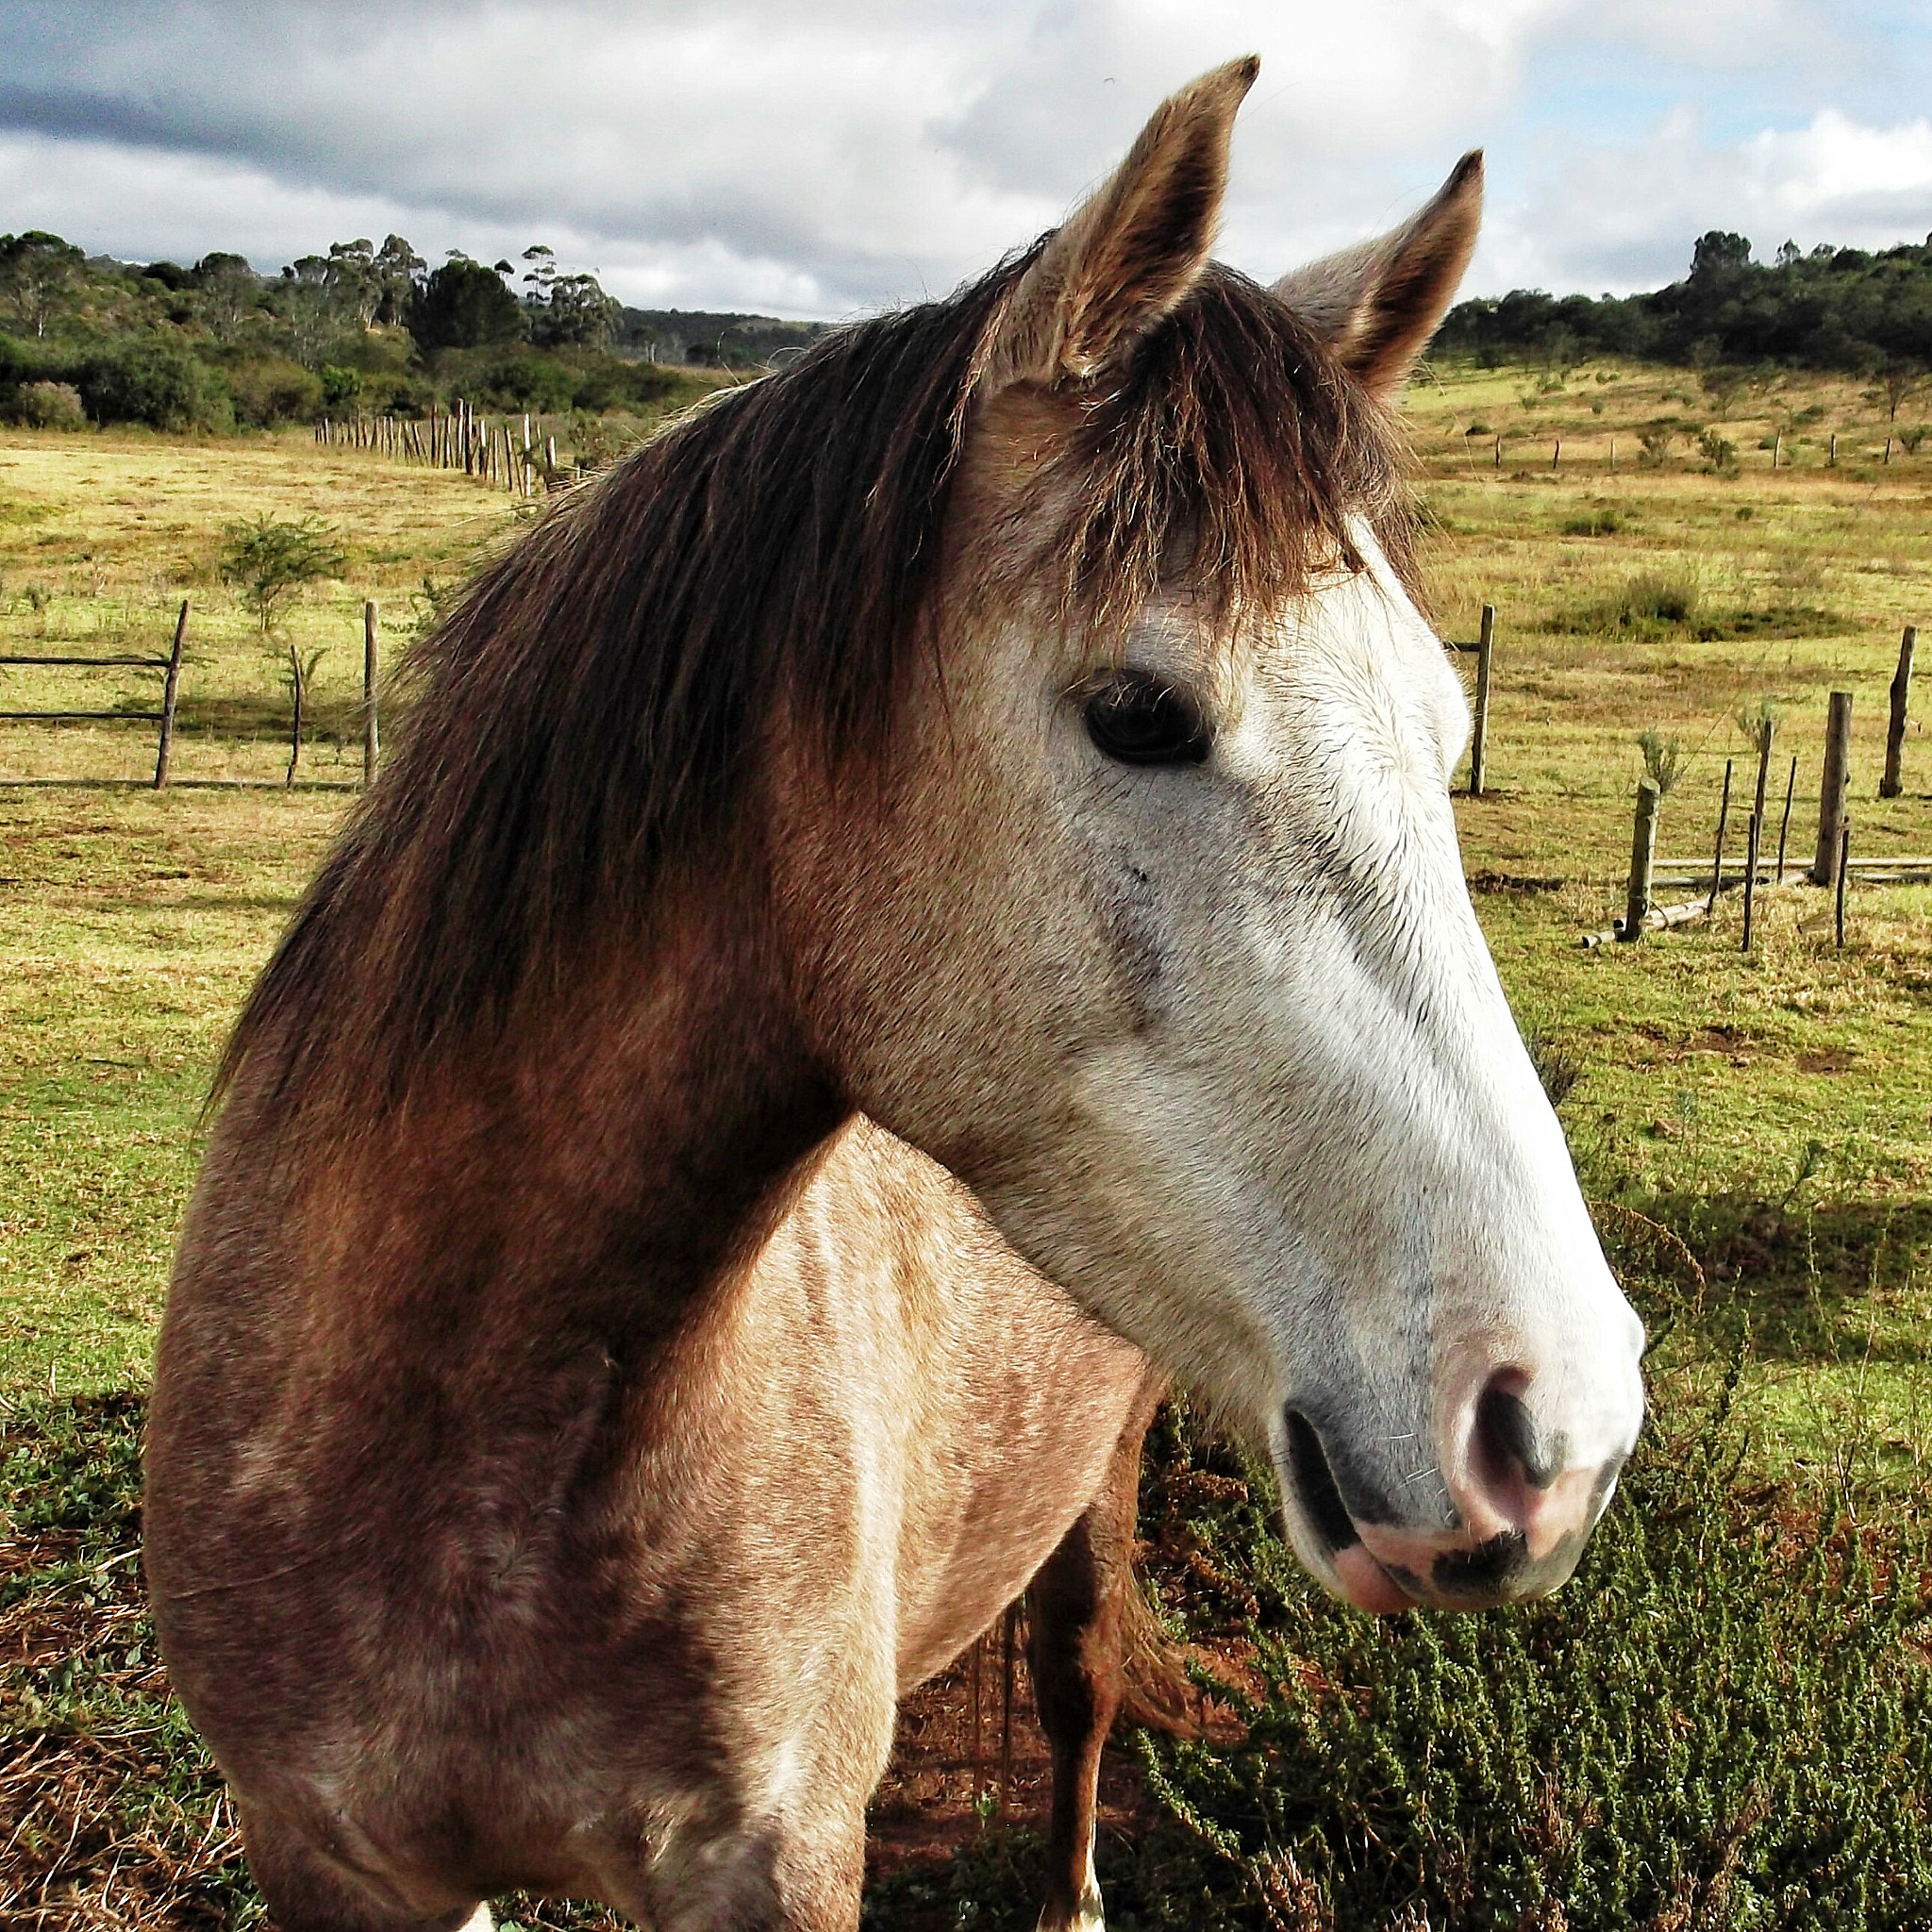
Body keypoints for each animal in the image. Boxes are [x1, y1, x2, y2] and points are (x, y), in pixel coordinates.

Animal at [146, 56, 1645, 1932]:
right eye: (1139, 713)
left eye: (1447, 733)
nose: (1556, 1426)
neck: (449, 1436)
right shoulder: (332, 1855)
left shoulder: (777, 1860)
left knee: (1078, 1679)